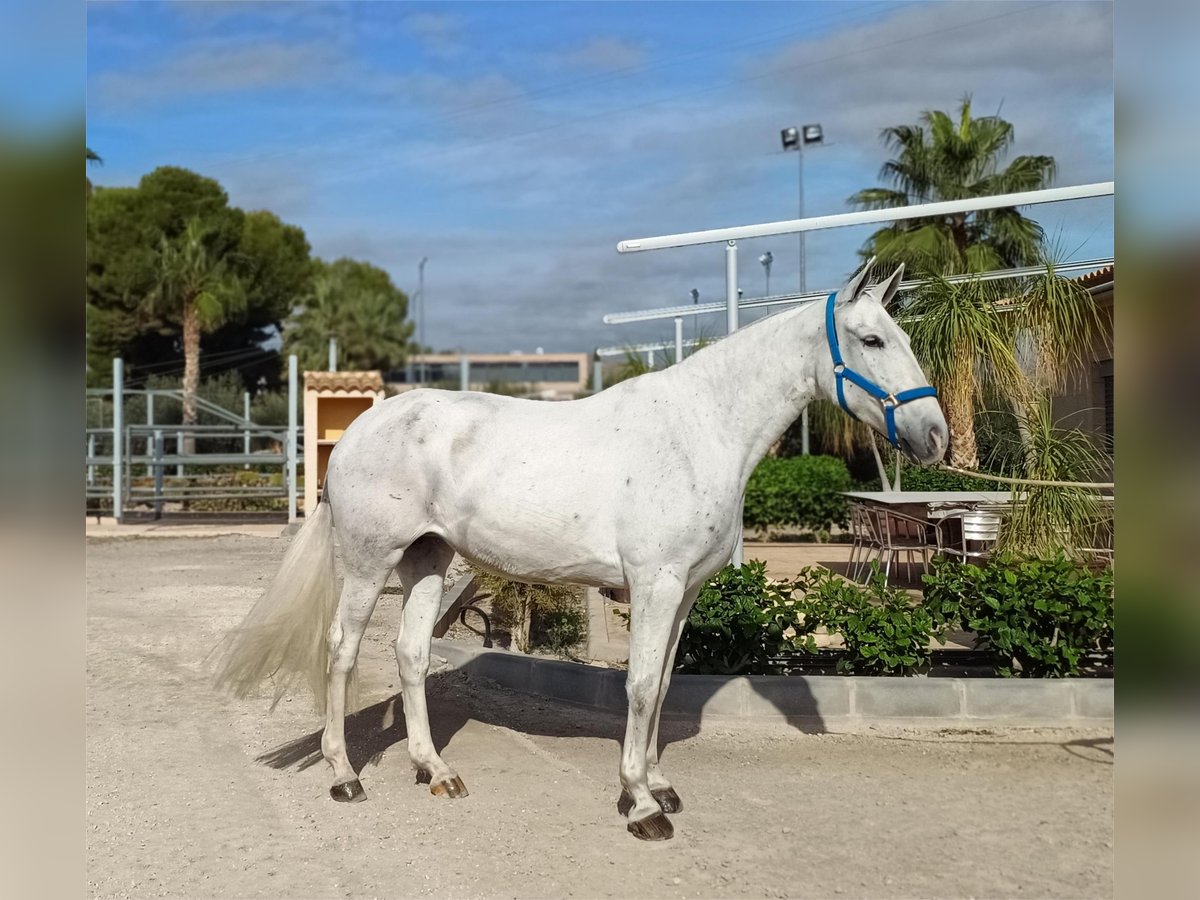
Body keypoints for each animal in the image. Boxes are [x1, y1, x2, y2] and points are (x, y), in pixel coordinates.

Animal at [216, 259, 945, 840]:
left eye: (908, 337)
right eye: (872, 339)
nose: (936, 435)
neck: (696, 431)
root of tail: (360, 428)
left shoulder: (684, 594)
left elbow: (665, 685)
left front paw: (660, 783)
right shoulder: (654, 584)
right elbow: (641, 686)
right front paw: (641, 803)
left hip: (427, 560)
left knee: (411, 655)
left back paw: (435, 771)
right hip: (370, 563)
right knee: (341, 651)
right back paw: (344, 775)